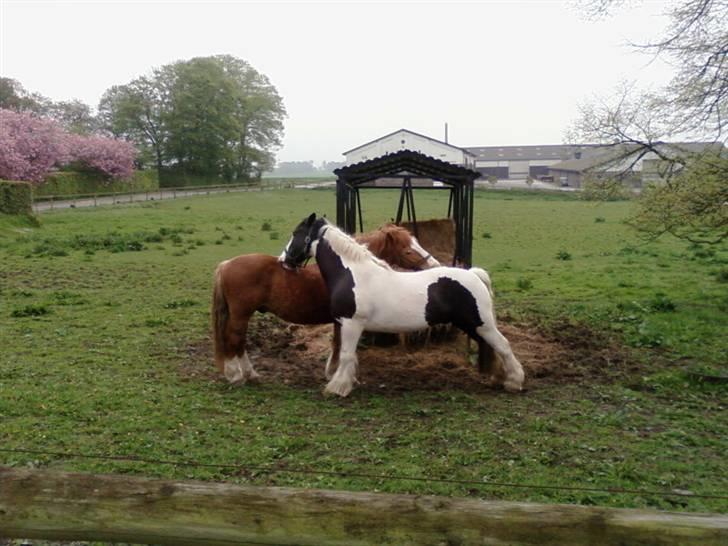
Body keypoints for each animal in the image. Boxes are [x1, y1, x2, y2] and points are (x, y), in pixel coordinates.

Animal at [210, 221, 438, 382]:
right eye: (408, 249)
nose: (434, 265)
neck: (348, 269)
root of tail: (226, 264)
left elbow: (337, 343)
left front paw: (332, 371)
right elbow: (338, 344)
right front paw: (334, 373)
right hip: (241, 315)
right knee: (234, 339)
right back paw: (239, 375)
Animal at [278, 212, 524, 396]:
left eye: (296, 233)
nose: (284, 260)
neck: (352, 273)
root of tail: (473, 274)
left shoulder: (351, 323)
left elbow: (346, 354)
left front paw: (337, 388)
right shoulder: (343, 324)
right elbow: (345, 353)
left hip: (482, 325)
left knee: (503, 346)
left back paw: (514, 382)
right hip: (472, 326)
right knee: (490, 347)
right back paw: (496, 379)